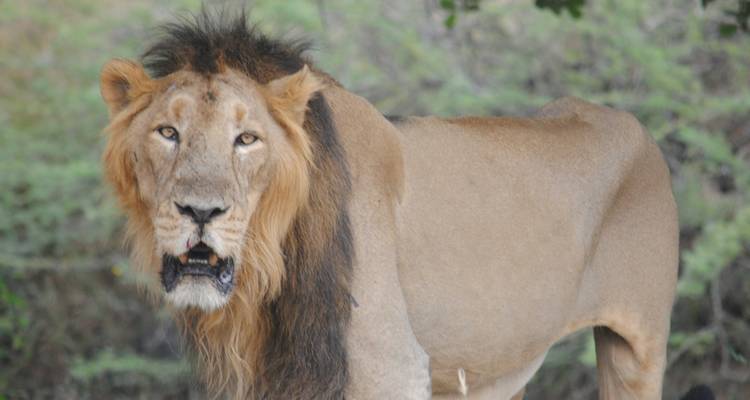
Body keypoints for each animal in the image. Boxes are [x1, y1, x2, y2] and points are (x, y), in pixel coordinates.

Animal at [100, 11, 678, 400]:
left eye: (246, 139)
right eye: (168, 133)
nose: (201, 213)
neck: (266, 275)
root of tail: (636, 126)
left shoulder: (389, 365)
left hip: (639, 346)